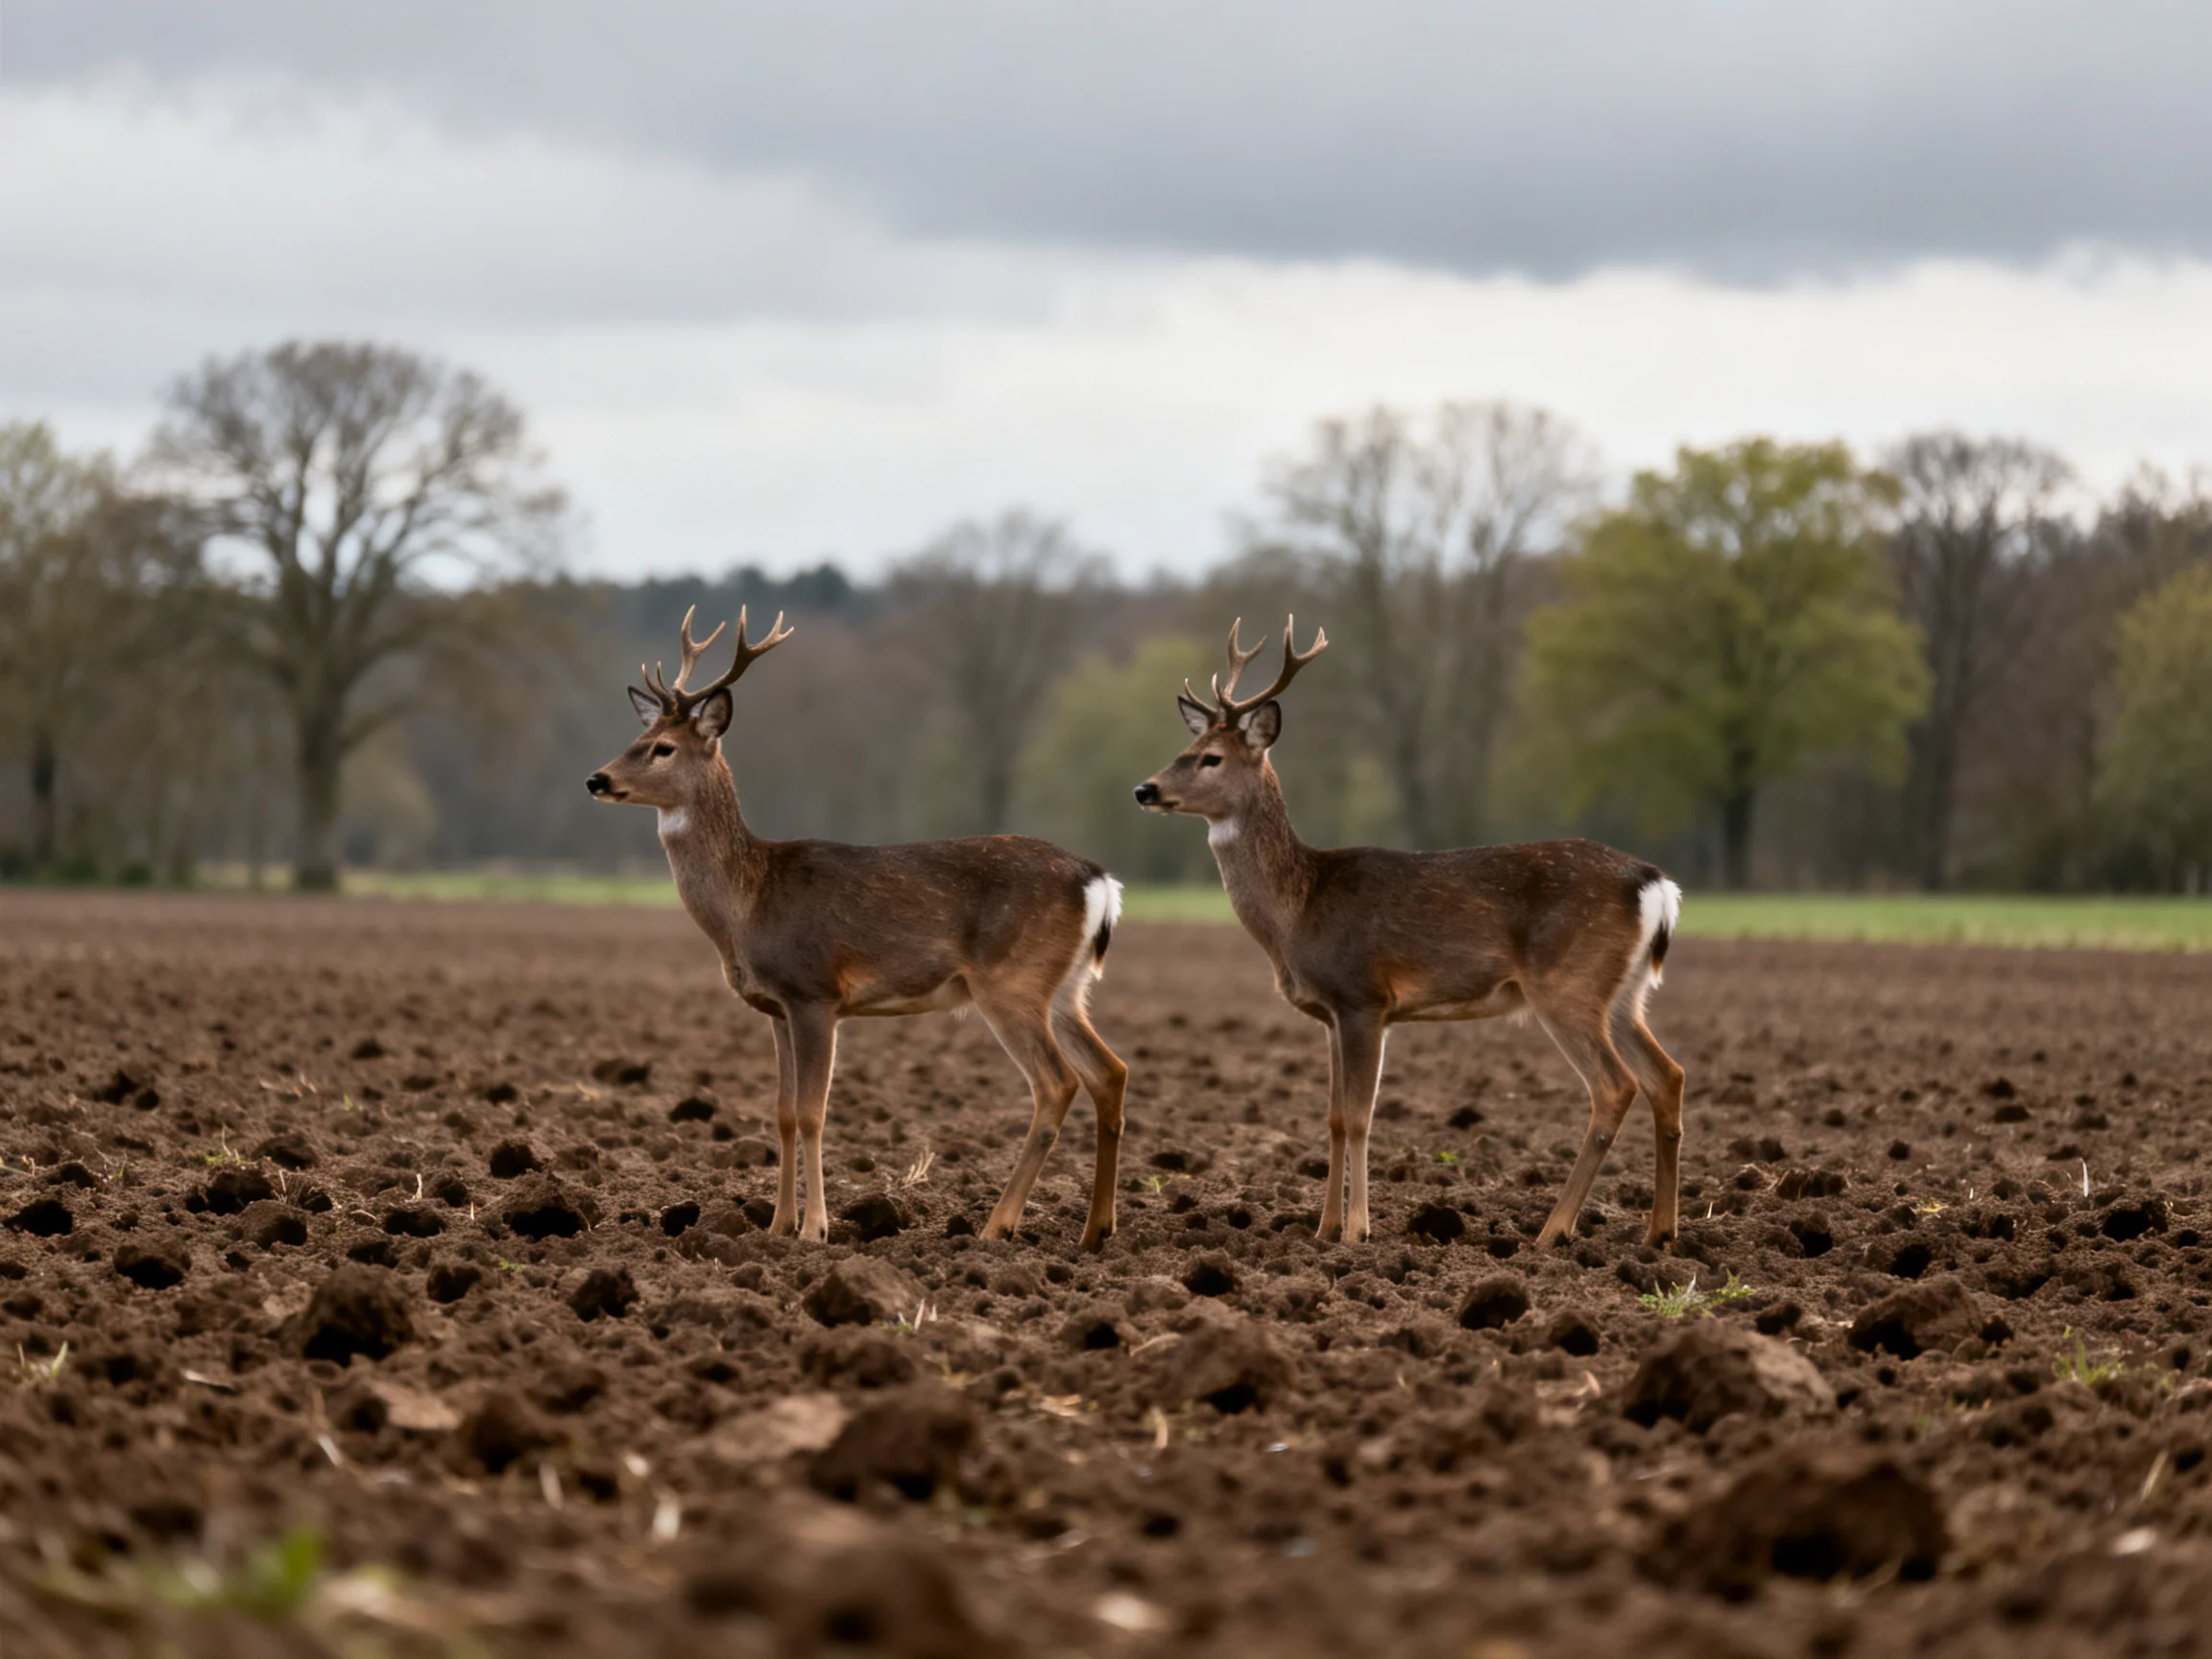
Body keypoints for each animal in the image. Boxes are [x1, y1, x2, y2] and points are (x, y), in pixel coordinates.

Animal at [587, 608, 1129, 1250]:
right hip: (1065, 988)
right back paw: (1095, 1231)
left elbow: (814, 1113)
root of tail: (1100, 882)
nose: (596, 779)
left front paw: (815, 1230)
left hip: (1011, 982)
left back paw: (997, 1225)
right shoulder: (775, 1007)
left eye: (662, 748)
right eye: (633, 740)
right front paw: (775, 1225)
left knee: (1057, 1084)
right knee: (1110, 1072)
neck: (749, 902)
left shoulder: (815, 992)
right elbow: (783, 1113)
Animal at [1134, 618, 1687, 1249]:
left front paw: (1357, 1231)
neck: (1299, 910)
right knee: (1667, 1076)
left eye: (1211, 759)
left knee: (1614, 1087)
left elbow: (1358, 1117)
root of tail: (1656, 885)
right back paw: (1659, 1233)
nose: (1145, 790)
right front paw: (1322, 1229)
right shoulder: (1329, 1013)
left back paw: (1552, 1232)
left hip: (1568, 984)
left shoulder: (1364, 998)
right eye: (1184, 750)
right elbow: (1332, 1118)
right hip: (1623, 992)